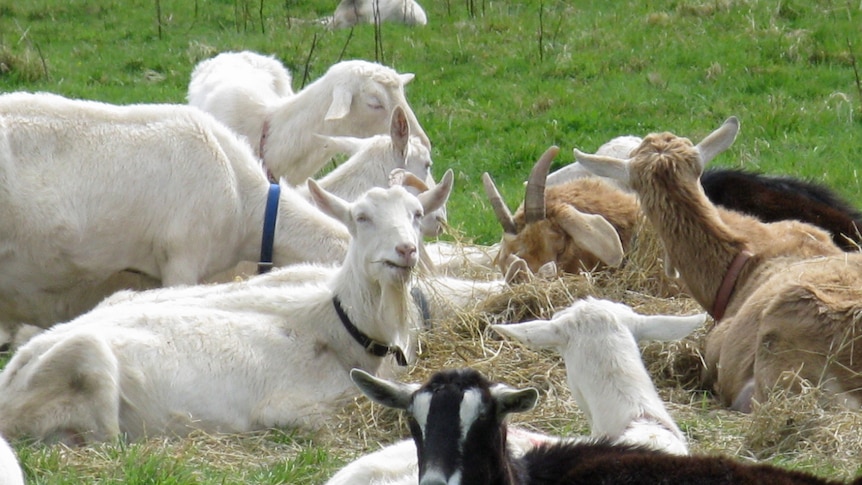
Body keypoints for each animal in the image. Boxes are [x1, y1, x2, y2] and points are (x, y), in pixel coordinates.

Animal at [0, 172, 456, 444]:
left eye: (417, 214)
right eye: (361, 217)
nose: (405, 250)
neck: (336, 325)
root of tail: (13, 377)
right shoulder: (291, 408)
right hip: (86, 361)